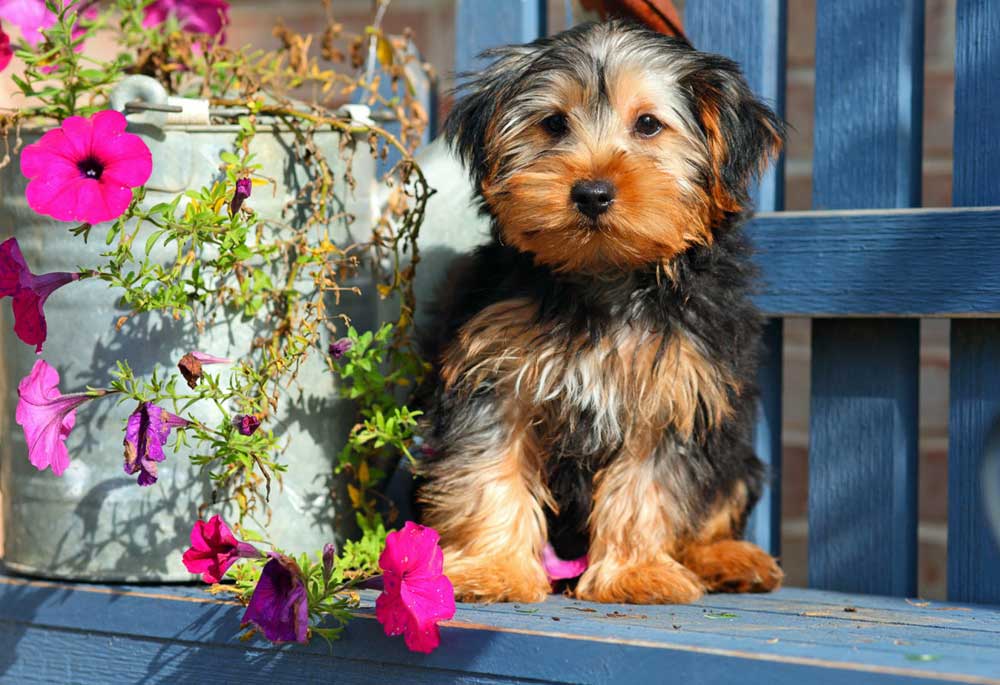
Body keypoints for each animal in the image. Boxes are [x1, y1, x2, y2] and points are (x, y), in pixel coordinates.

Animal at [418, 18, 784, 600]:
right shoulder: (495, 375)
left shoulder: (672, 388)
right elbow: (488, 466)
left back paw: (726, 557)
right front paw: (493, 566)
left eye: (649, 125)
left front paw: (635, 573)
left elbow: (646, 485)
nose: (591, 192)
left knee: (721, 495)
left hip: (736, 449)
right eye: (552, 124)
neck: (605, 275)